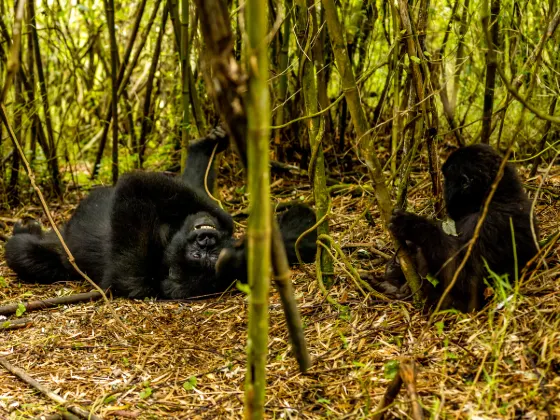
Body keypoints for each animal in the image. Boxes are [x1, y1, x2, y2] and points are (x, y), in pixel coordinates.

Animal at [6, 129, 318, 298]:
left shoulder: (135, 274)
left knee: (22, 254)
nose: (206, 240)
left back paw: (24, 231)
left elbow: (134, 185)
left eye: (204, 256)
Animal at [384, 144, 540, 312]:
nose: (443, 187)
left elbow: (465, 285)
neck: (494, 197)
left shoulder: (487, 225)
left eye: (447, 179)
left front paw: (413, 226)